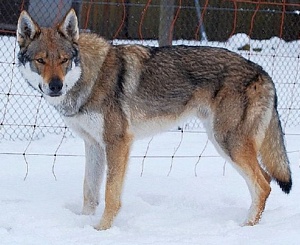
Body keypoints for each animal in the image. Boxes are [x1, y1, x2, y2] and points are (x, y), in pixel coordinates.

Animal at [16, 8, 290, 230]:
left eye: (63, 60)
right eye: (41, 60)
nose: (55, 86)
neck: (90, 77)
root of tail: (263, 73)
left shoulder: (118, 142)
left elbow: (111, 194)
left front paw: (101, 230)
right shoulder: (93, 145)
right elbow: (89, 192)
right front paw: (83, 224)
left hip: (227, 142)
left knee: (264, 185)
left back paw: (245, 228)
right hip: (221, 141)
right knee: (266, 180)